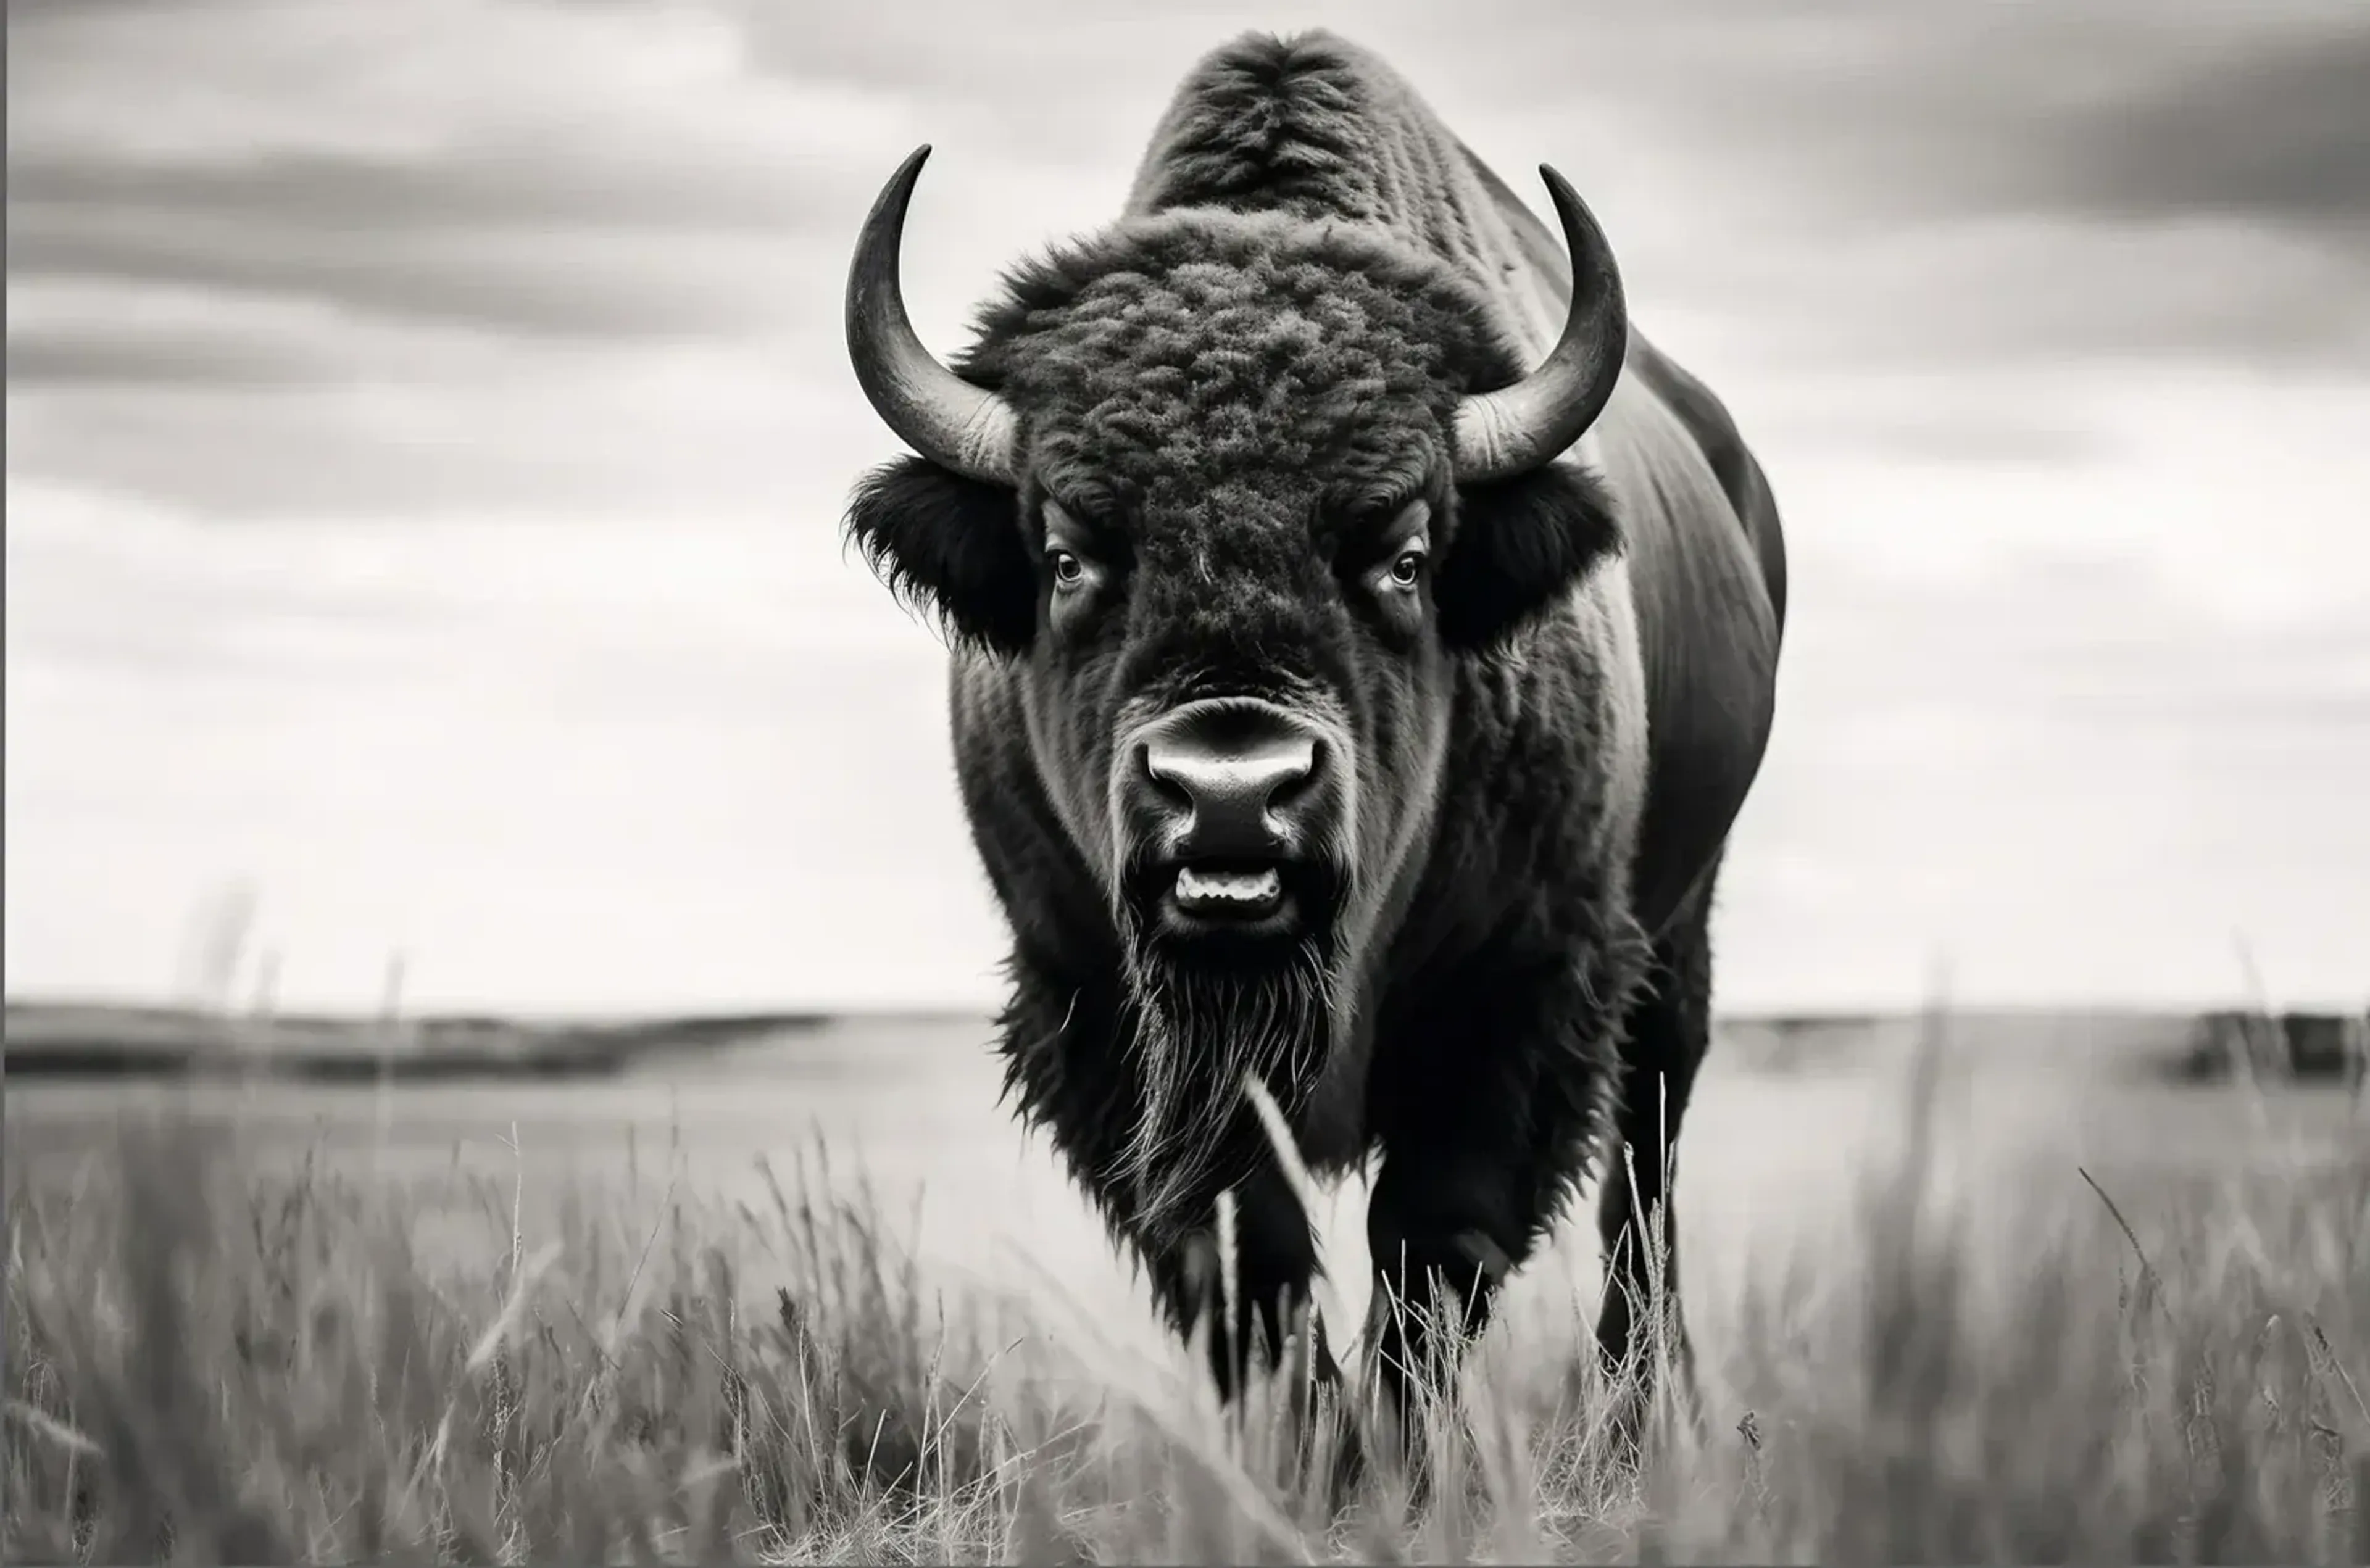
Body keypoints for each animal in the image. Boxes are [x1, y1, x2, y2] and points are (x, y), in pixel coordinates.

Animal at [840, 30, 1786, 1437]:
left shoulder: (1520, 992)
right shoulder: (1105, 1017)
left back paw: (1636, 1412)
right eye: (1065, 553)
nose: (1231, 793)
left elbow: (1431, 1249)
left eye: (1406, 554)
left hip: (1678, 932)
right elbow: (1253, 1263)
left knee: (1646, 1161)